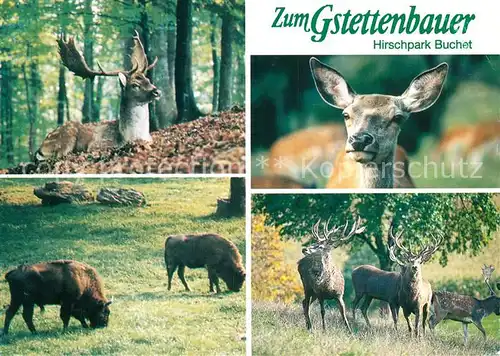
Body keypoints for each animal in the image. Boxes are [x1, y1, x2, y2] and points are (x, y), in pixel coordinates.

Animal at [35, 32, 160, 161]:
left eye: (148, 80)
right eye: (135, 85)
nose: (157, 91)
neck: (130, 136)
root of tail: (41, 147)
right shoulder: (97, 145)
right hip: (67, 138)